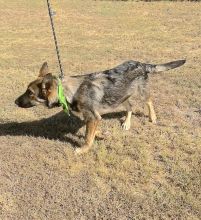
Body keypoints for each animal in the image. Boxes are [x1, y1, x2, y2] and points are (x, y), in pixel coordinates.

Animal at [15, 59, 185, 154]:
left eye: (30, 93)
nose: (15, 102)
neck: (68, 91)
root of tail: (142, 64)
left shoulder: (92, 117)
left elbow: (87, 138)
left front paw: (83, 150)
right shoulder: (93, 117)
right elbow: (91, 132)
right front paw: (100, 134)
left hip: (139, 93)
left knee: (149, 101)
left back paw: (152, 117)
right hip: (120, 96)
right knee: (130, 107)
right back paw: (126, 123)